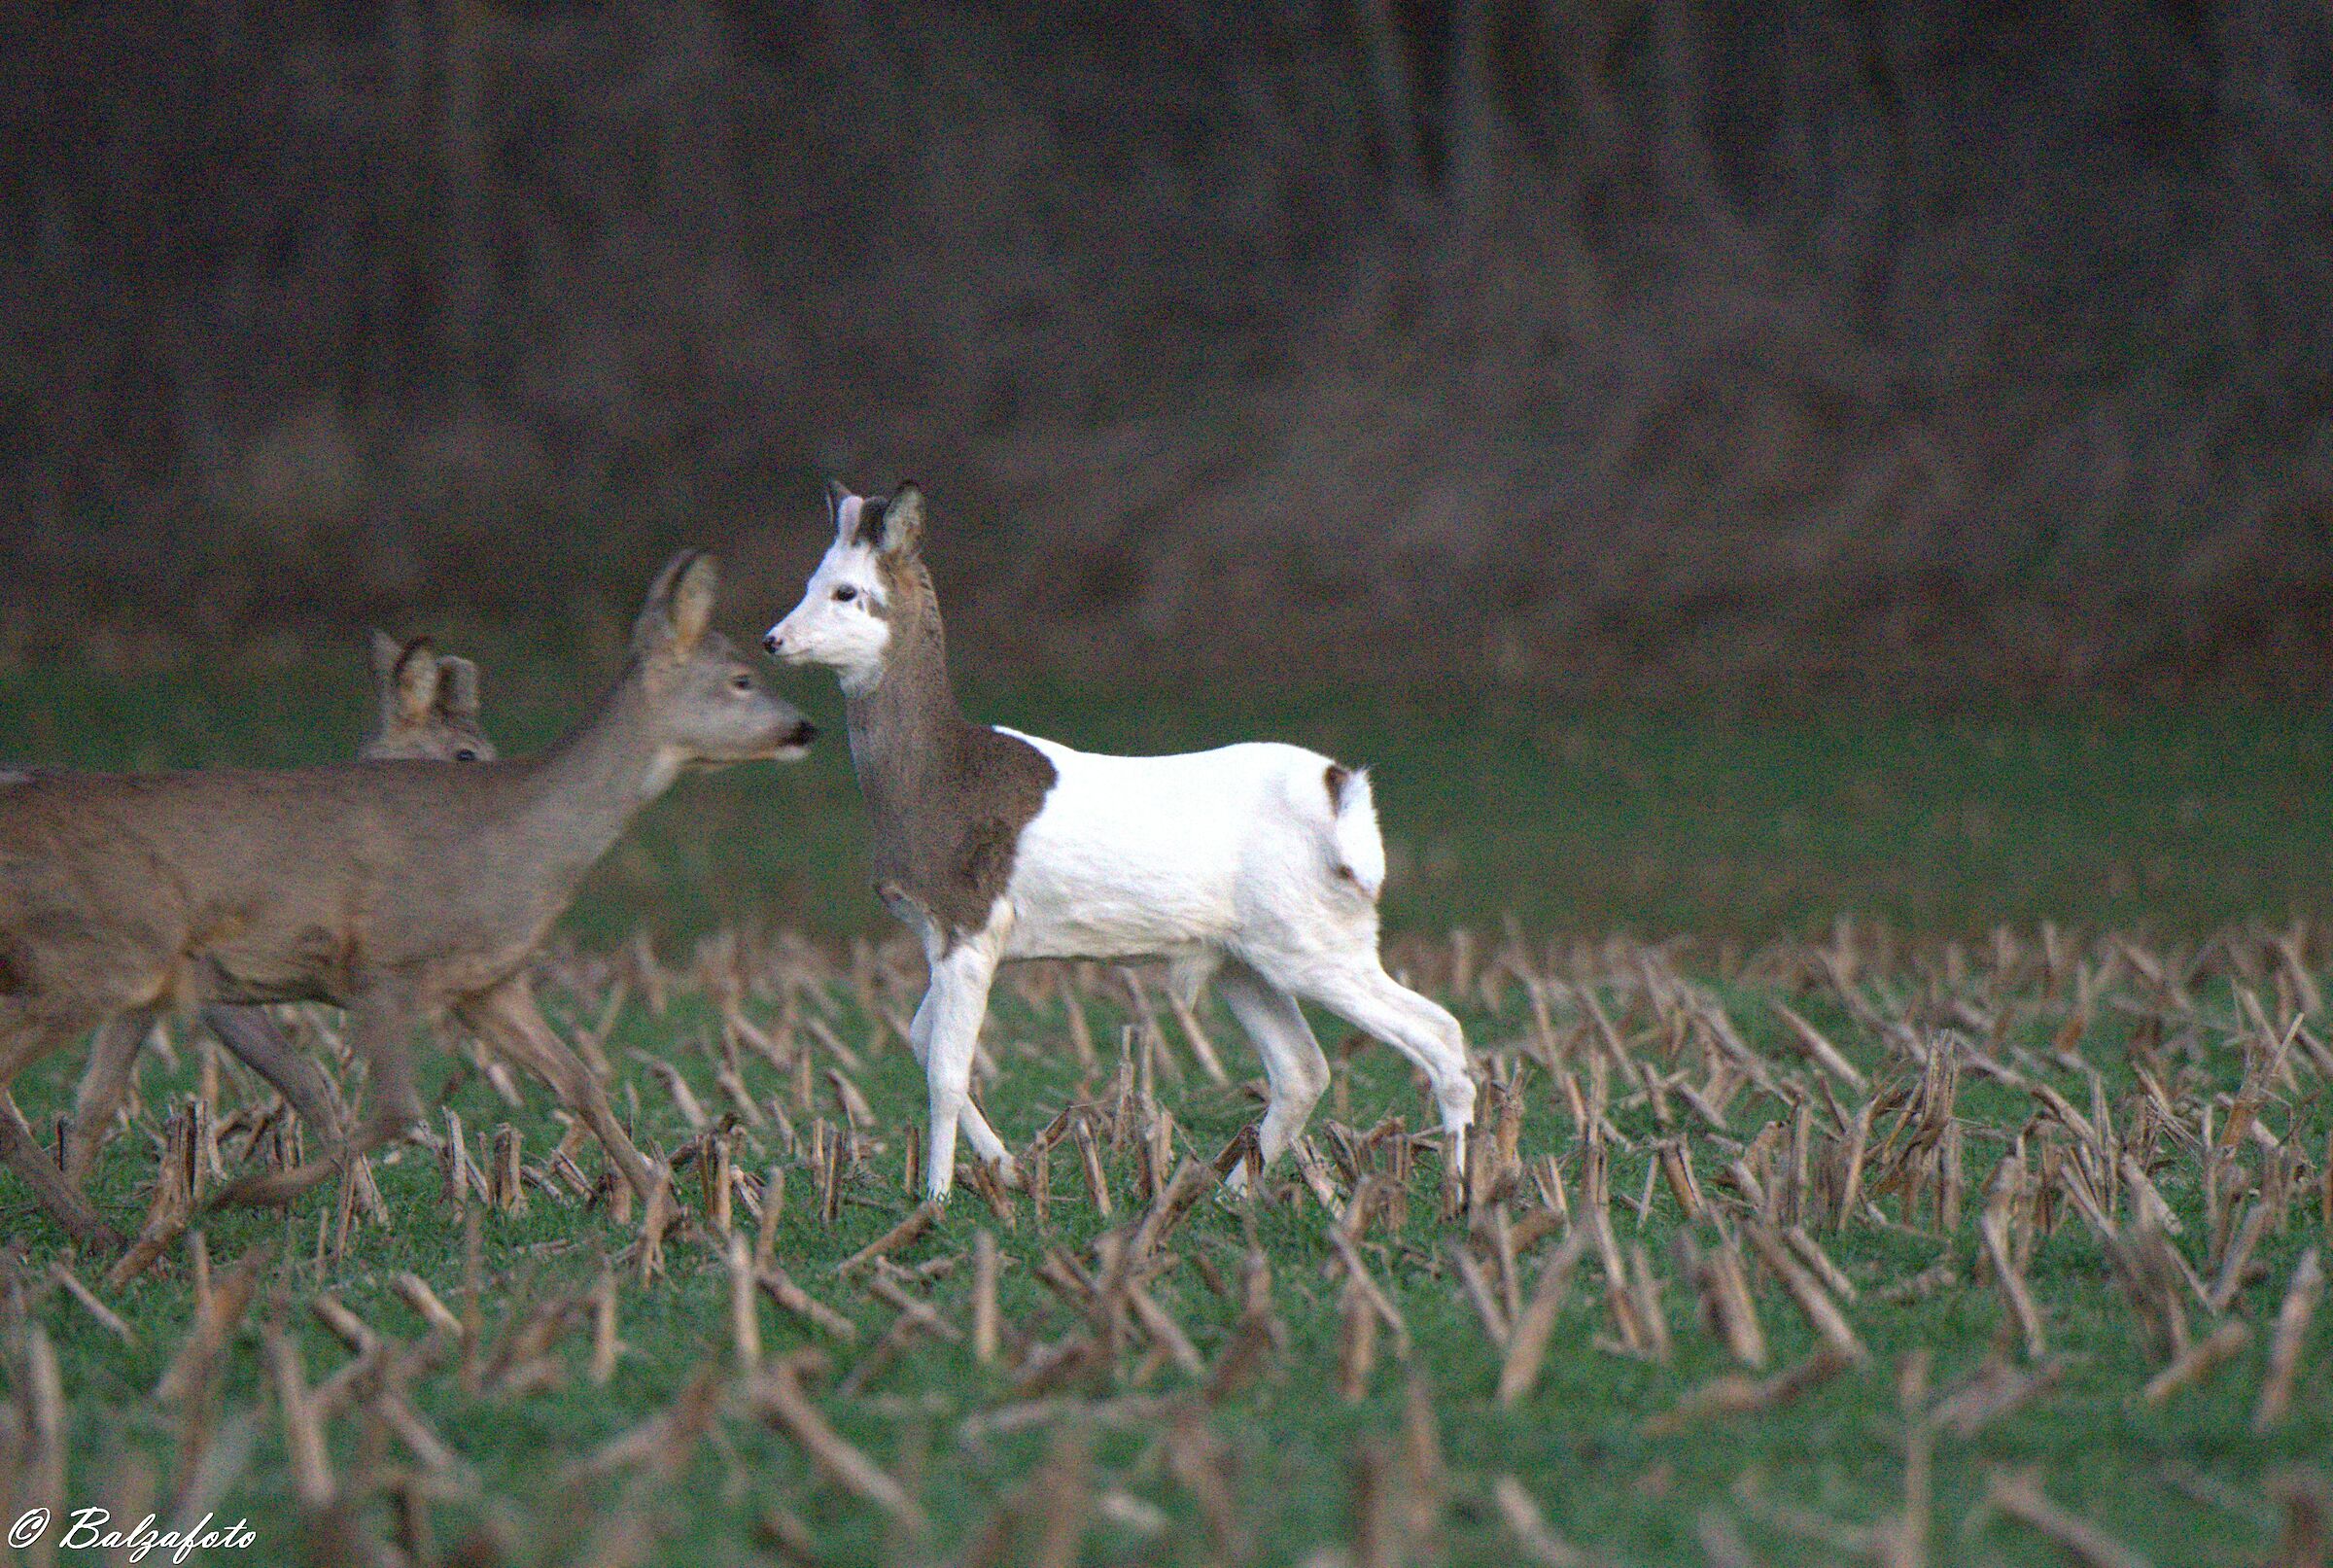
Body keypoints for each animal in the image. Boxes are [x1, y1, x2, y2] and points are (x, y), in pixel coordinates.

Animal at [763, 482, 1475, 1202]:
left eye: (847, 591)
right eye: (809, 581)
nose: (773, 639)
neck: (938, 777)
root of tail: (1342, 791)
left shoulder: (974, 924)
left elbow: (945, 1072)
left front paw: (937, 1198)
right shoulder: (945, 933)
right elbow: (916, 1039)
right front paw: (1007, 1168)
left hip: (1316, 940)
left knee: (1440, 1033)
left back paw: (1459, 1192)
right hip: (1245, 958)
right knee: (1304, 1069)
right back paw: (1228, 1195)